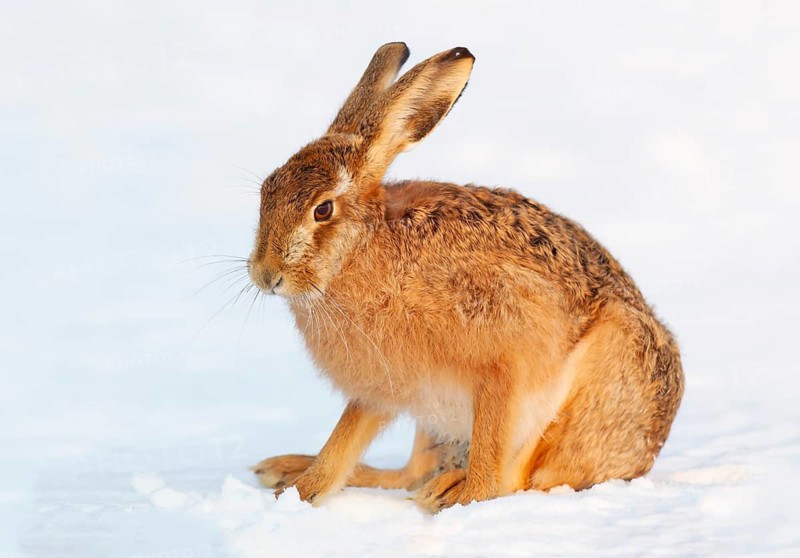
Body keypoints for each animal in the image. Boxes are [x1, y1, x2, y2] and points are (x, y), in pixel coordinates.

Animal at [247, 42, 684, 513]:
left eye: (323, 209)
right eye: (267, 191)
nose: (265, 274)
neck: (361, 251)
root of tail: (643, 456)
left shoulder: (501, 363)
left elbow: (489, 470)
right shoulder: (383, 384)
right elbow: (344, 440)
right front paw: (299, 492)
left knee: (513, 478)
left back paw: (447, 490)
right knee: (409, 473)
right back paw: (286, 467)